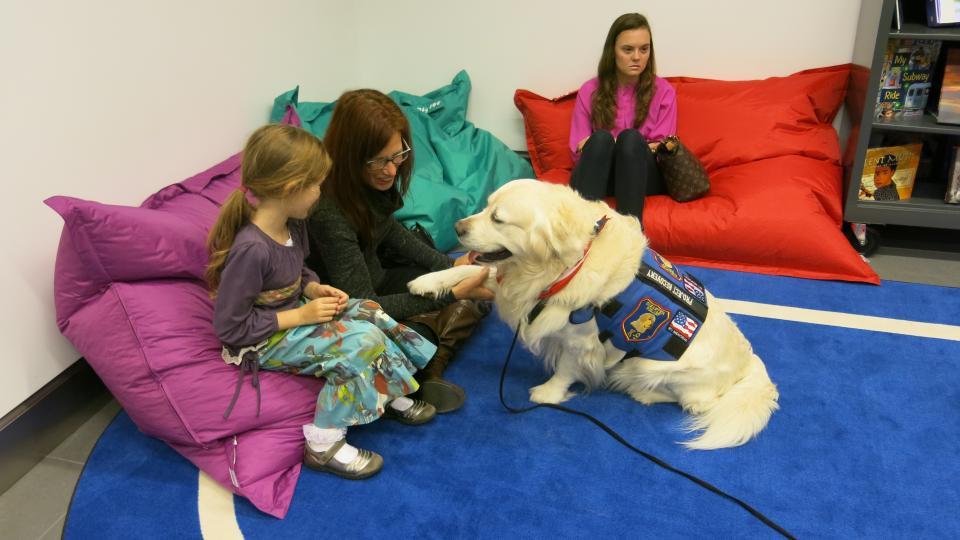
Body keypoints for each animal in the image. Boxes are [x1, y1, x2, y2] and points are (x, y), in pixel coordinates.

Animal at [406, 179, 780, 450]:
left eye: (498, 218)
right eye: (485, 206)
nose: (458, 227)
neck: (562, 263)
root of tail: (750, 363)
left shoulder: (581, 341)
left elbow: (566, 369)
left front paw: (548, 393)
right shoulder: (522, 289)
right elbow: (470, 272)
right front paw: (427, 282)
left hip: (652, 367)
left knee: (692, 403)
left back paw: (638, 390)